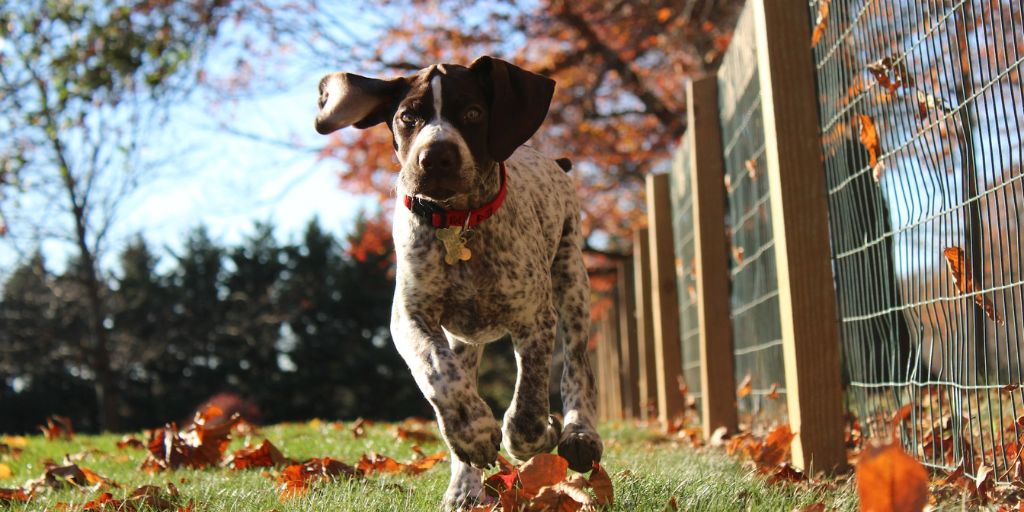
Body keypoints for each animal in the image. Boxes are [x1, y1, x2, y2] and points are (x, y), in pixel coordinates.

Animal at [311, 55, 598, 507]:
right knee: (458, 377)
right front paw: (473, 434)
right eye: (408, 117)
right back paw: (464, 487)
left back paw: (580, 435)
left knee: (577, 366)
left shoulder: (534, 319)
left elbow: (528, 407)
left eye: (473, 113)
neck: (457, 224)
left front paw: (540, 432)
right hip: (465, 339)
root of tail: (555, 162)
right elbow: (437, 373)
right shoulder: (410, 317)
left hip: (571, 281)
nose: (436, 156)